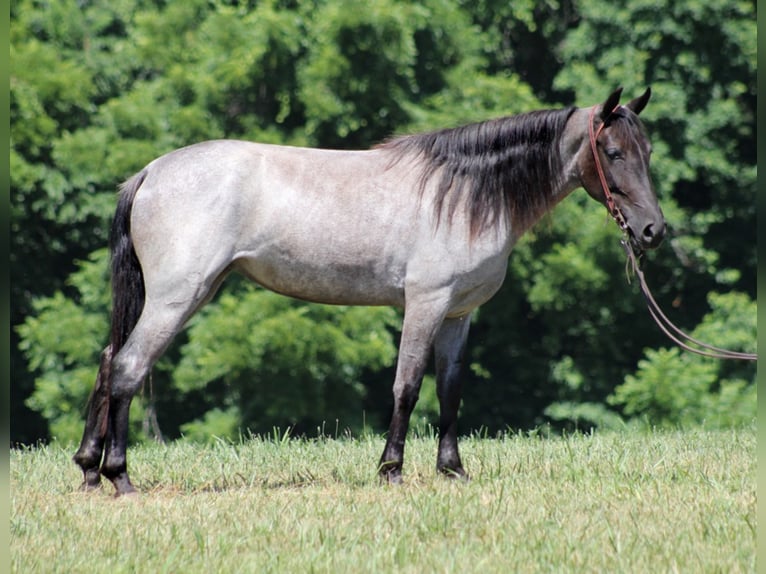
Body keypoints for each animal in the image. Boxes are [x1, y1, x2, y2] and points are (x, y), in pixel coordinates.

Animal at [75, 85, 668, 496]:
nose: (653, 231)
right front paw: (391, 470)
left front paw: (452, 470)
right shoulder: (426, 304)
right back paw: (120, 477)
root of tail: (151, 173)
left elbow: (450, 391)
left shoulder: (459, 316)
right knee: (127, 367)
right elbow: (407, 386)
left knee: (108, 360)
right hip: (178, 297)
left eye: (648, 151)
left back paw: (88, 469)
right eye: (612, 153)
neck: (465, 195)